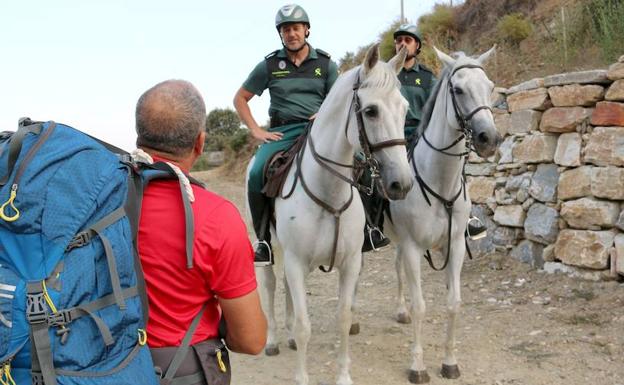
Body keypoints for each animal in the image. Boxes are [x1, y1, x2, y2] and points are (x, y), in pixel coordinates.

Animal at [247, 45, 414, 384]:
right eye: (371, 111)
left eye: (404, 109)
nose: (401, 184)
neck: (328, 192)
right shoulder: (297, 262)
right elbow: (304, 325)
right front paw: (301, 377)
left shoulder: (350, 263)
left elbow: (343, 318)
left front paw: (344, 376)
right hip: (270, 248)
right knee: (270, 284)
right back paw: (272, 340)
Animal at [388, 46, 500, 382]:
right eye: (458, 90)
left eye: (490, 87)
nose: (489, 139)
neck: (440, 182)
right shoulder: (414, 247)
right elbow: (421, 306)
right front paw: (417, 367)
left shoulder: (456, 246)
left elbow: (453, 303)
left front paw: (450, 362)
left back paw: (400, 311)